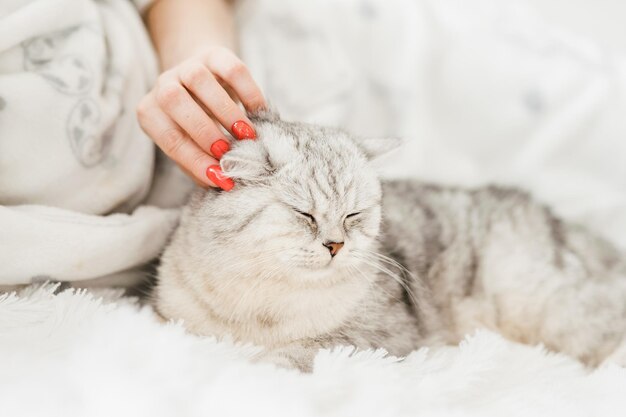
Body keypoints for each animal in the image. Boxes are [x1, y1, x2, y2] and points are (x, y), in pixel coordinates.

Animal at [151, 110, 624, 370]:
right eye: (305, 215)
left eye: (353, 215)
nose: (335, 246)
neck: (259, 306)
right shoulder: (171, 317)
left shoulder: (378, 335)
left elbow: (303, 350)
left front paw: (262, 367)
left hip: (552, 306)